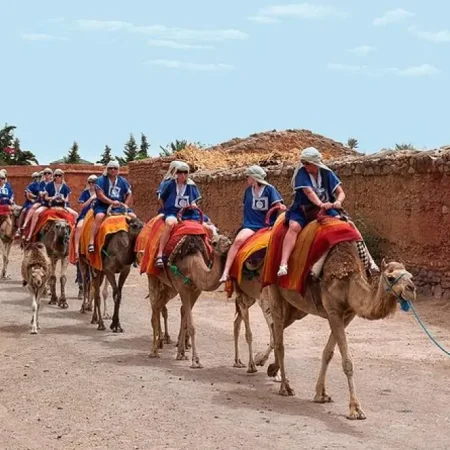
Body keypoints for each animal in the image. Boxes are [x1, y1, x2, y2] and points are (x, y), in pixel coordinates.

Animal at [148, 230, 232, 368]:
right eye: (214, 243)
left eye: (230, 241)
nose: (228, 247)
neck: (193, 265)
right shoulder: (183, 289)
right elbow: (191, 326)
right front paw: (196, 361)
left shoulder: (196, 290)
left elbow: (185, 317)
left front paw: (181, 354)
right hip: (153, 277)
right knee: (155, 306)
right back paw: (154, 351)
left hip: (169, 288)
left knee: (159, 305)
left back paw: (162, 342)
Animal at [266, 241, 416, 420]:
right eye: (391, 277)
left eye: (411, 276)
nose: (411, 289)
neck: (349, 285)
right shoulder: (333, 311)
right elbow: (347, 361)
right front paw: (355, 409)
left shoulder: (348, 315)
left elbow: (328, 353)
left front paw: (321, 394)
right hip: (275, 291)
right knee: (279, 339)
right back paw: (285, 386)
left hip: (297, 307)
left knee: (276, 328)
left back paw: (270, 368)